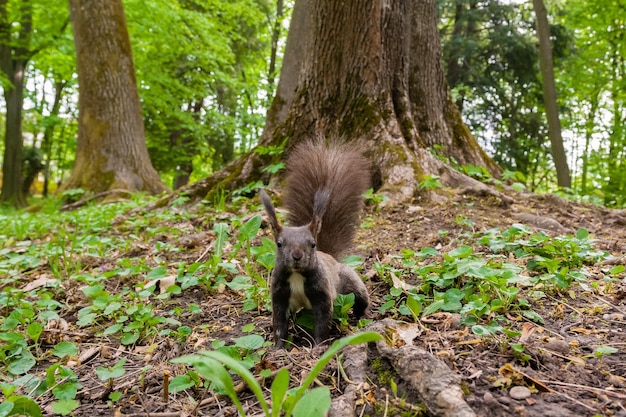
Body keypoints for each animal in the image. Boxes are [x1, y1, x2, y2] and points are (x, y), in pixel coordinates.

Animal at [260, 139, 370, 348]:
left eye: (312, 244)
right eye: (279, 244)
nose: (297, 256)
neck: (296, 276)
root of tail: (330, 256)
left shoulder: (323, 295)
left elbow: (322, 323)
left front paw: (319, 346)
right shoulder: (279, 296)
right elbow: (279, 325)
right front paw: (278, 348)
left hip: (349, 281)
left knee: (361, 297)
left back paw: (361, 316)